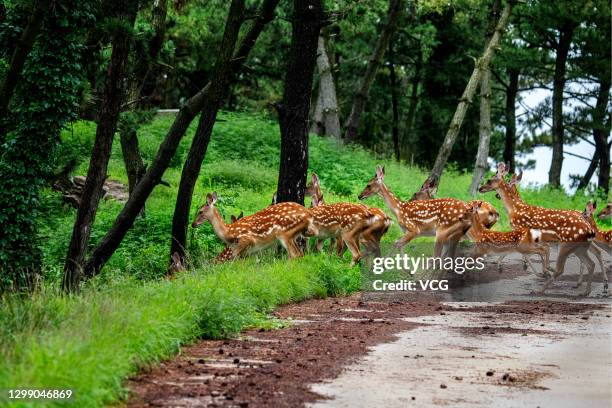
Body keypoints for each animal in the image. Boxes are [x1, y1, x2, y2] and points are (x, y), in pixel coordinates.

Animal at [478, 163, 596, 296]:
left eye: (489, 180)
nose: (480, 188)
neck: (515, 209)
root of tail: (589, 227)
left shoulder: (522, 230)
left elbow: (531, 253)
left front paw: (541, 272)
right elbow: (538, 252)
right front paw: (542, 271)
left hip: (567, 244)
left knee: (567, 266)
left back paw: (542, 289)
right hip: (579, 247)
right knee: (591, 262)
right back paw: (583, 289)